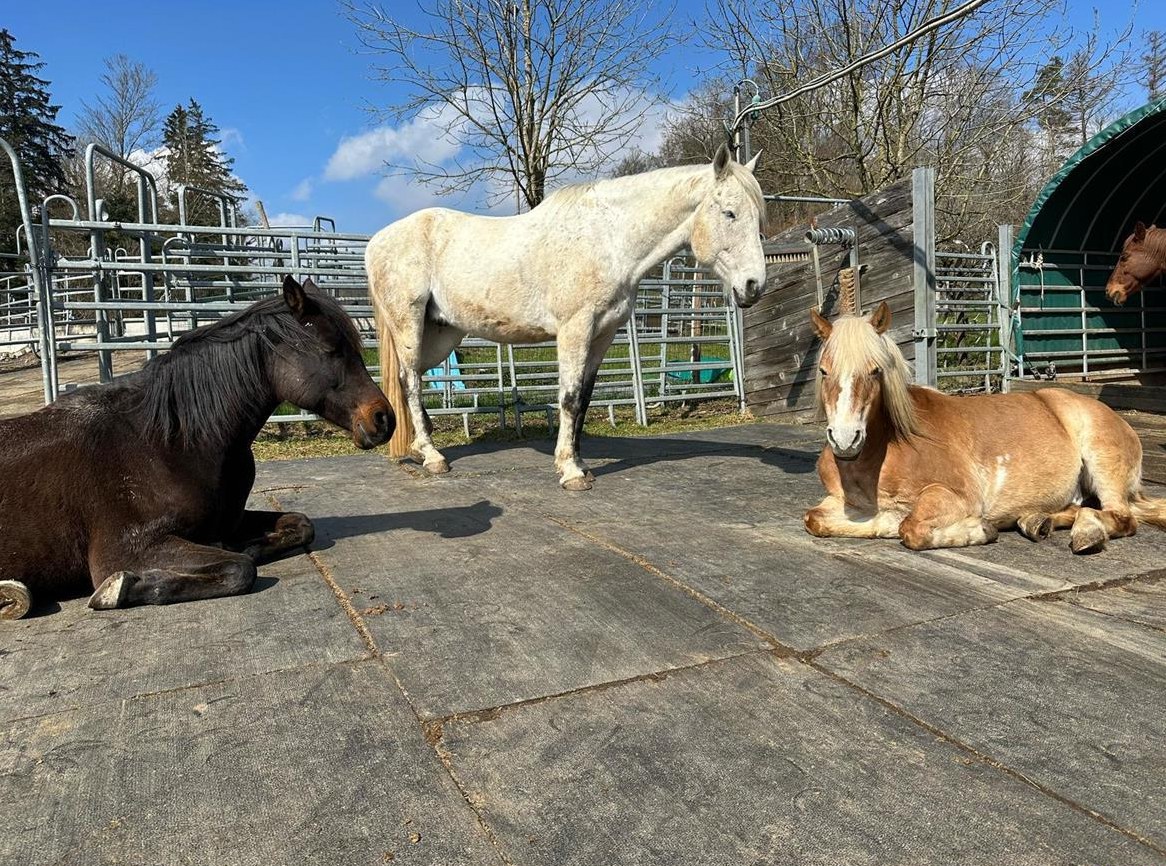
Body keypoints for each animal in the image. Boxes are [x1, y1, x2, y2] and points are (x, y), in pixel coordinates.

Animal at [0, 276, 393, 620]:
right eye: (332, 349)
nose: (383, 419)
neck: (165, 443)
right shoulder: (123, 550)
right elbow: (240, 570)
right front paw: (120, 589)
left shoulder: (229, 519)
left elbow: (299, 525)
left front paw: (244, 545)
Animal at [366, 144, 767, 491]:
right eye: (729, 212)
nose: (753, 286)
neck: (609, 240)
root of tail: (376, 242)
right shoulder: (575, 328)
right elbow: (570, 397)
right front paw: (571, 472)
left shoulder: (603, 334)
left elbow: (585, 399)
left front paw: (578, 463)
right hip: (409, 324)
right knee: (410, 382)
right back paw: (432, 456)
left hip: (441, 333)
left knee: (411, 380)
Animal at [802, 301, 1166, 553]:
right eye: (823, 371)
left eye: (875, 370)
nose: (845, 440)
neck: (881, 455)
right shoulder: (838, 502)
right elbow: (813, 518)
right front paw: (884, 521)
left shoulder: (954, 496)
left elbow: (912, 527)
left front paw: (978, 530)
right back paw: (1037, 521)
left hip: (1102, 464)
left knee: (1121, 517)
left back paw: (1086, 533)